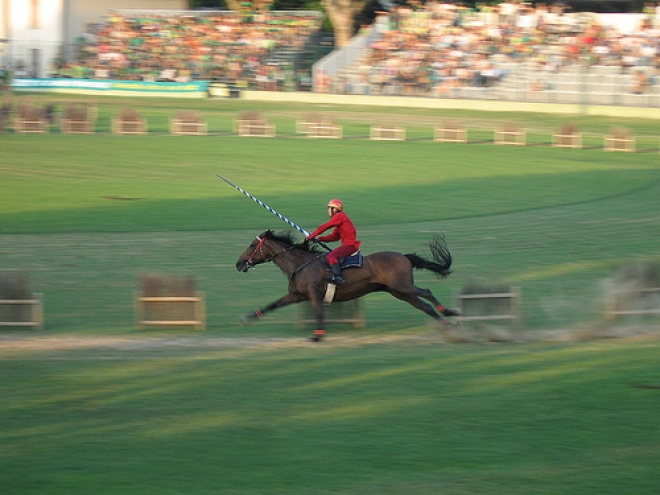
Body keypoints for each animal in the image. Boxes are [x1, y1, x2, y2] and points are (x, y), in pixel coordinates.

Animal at [236, 232, 458, 340]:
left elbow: (319, 313)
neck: (300, 263)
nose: (239, 264)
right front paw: (248, 318)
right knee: (424, 305)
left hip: (402, 286)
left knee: (427, 293)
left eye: (251, 246)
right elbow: (271, 305)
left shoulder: (314, 294)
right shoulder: (296, 296)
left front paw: (318, 336)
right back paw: (446, 323)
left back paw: (449, 312)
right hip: (399, 292)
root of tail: (405, 257)